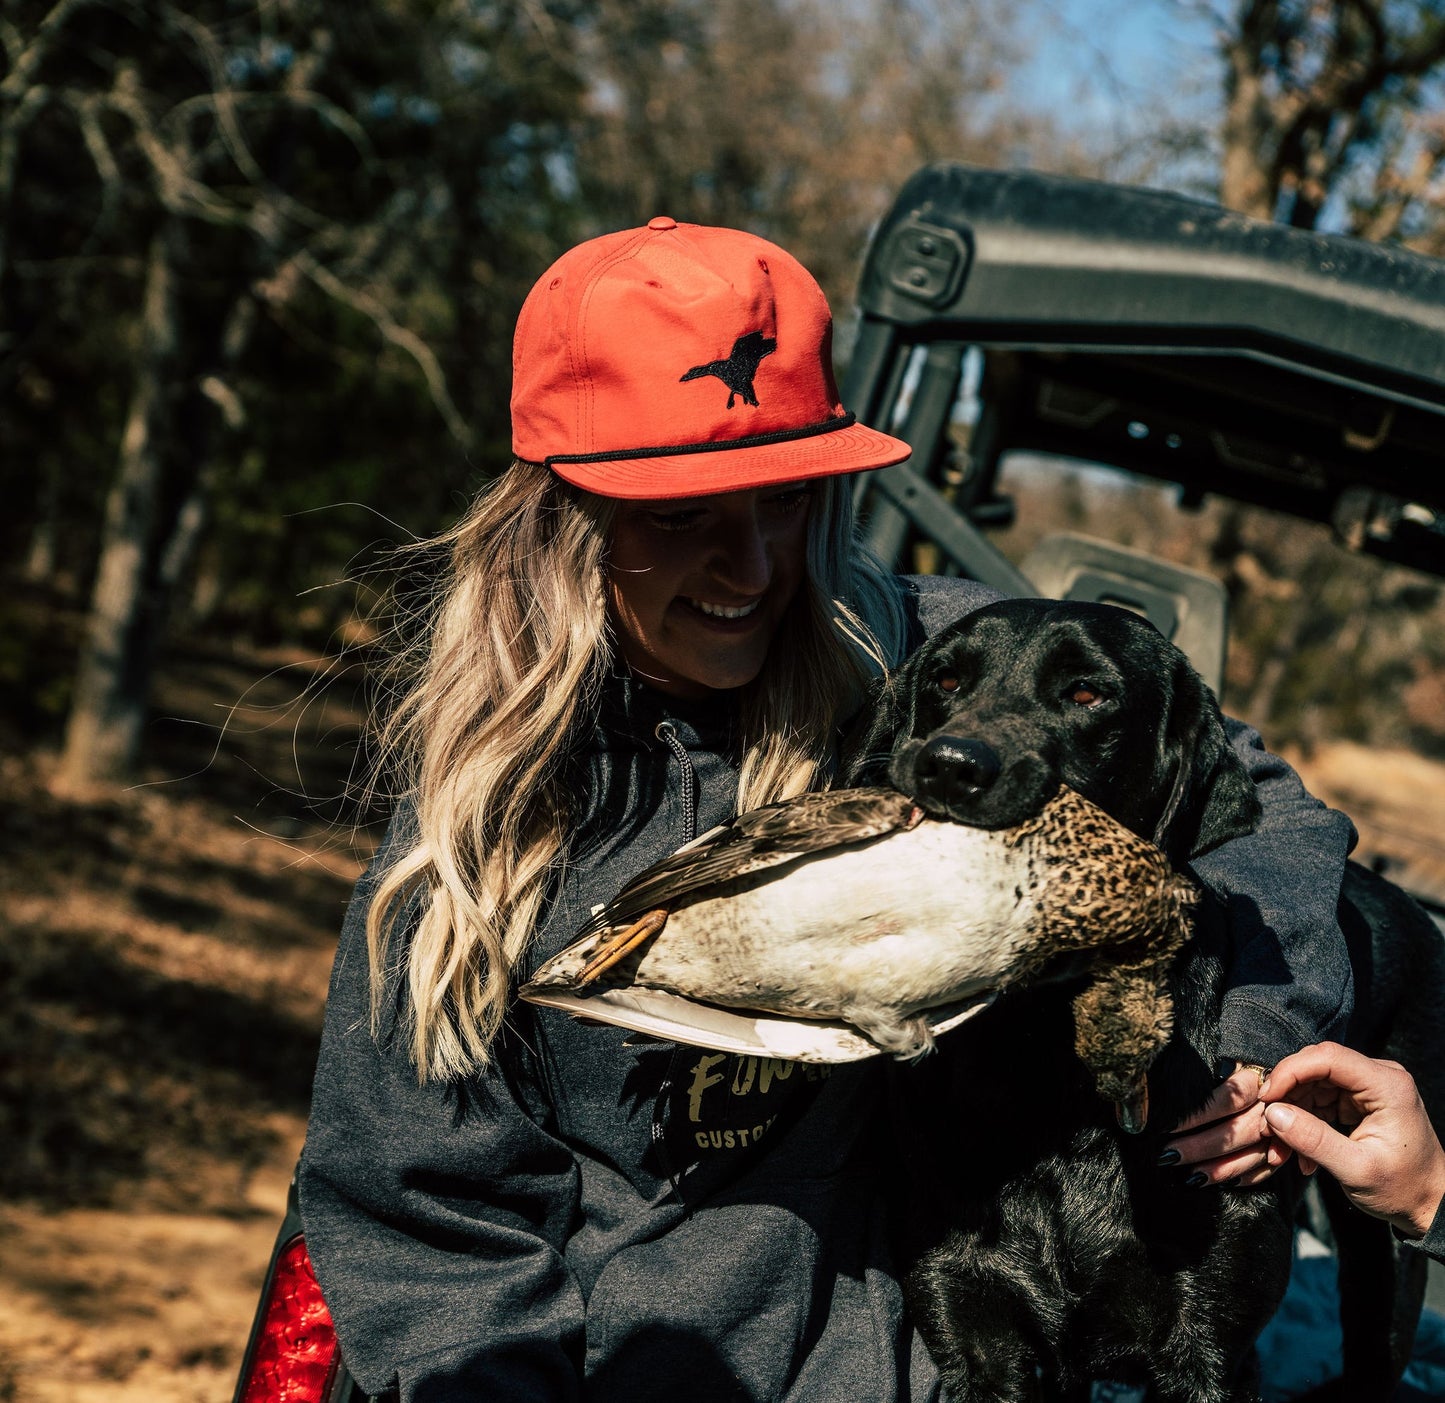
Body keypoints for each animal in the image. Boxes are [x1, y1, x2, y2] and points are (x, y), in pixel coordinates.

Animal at [843, 598, 1445, 1403]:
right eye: (943, 679)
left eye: (1087, 694)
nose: (948, 765)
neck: (1044, 1069)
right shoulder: (971, 1319)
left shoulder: (1207, 1350)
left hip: (1385, 1226)